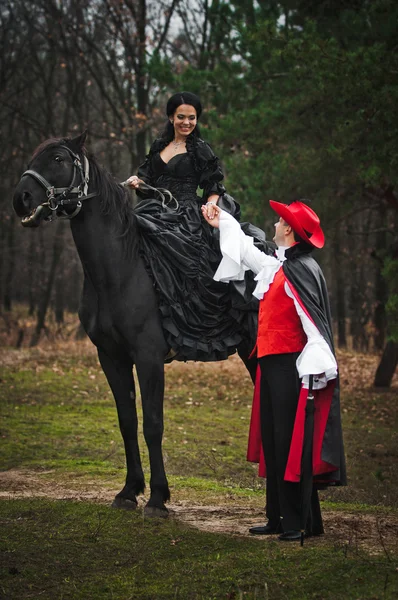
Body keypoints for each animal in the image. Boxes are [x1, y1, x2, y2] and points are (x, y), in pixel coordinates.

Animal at [12, 134, 256, 516]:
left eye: (58, 159)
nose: (20, 198)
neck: (122, 269)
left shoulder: (148, 357)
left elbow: (153, 424)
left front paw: (157, 497)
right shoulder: (111, 357)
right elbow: (127, 421)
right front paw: (129, 491)